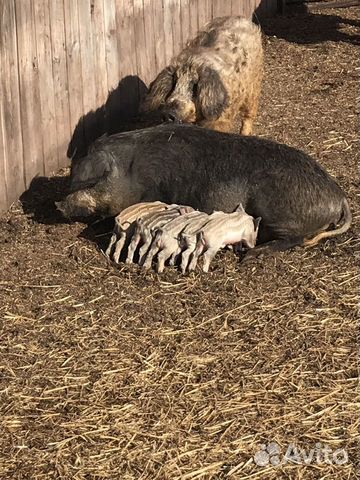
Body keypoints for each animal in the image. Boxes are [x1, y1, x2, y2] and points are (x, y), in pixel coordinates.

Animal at [57, 124, 352, 258]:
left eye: (92, 181)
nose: (58, 206)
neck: (132, 174)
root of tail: (338, 196)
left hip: (278, 212)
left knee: (295, 239)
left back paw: (250, 254)